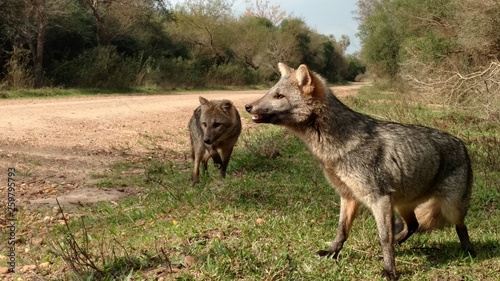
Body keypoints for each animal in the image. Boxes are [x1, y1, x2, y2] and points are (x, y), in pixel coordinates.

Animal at [246, 62, 476, 278]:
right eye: (269, 92)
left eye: (279, 96)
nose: (248, 106)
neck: (336, 147)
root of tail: (462, 145)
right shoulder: (348, 196)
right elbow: (342, 231)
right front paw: (332, 252)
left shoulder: (379, 199)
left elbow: (384, 238)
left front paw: (389, 270)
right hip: (402, 206)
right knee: (413, 225)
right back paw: (400, 242)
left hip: (450, 209)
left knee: (460, 227)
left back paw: (469, 251)